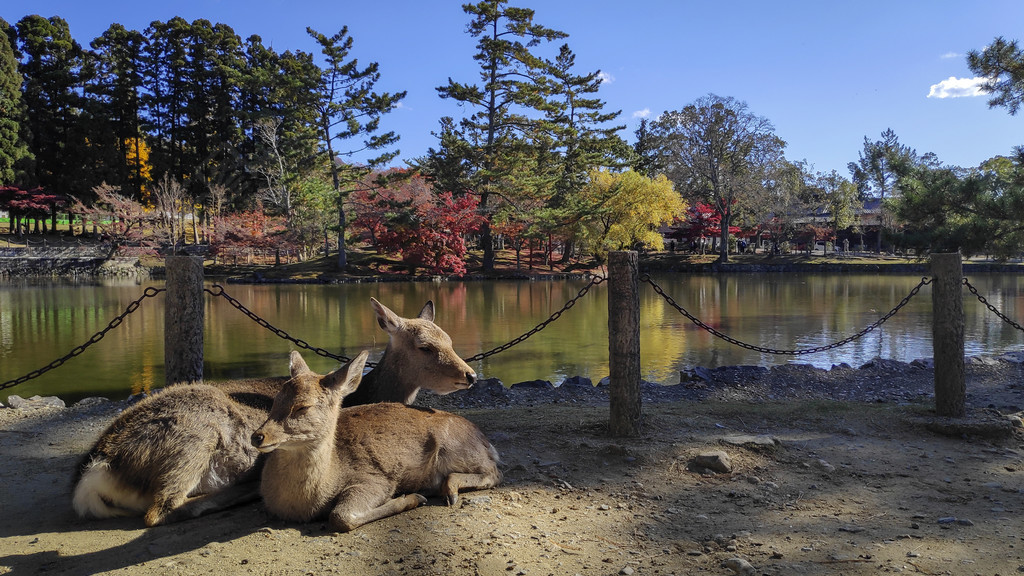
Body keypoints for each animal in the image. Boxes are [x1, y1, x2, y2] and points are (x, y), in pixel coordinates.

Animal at [72, 295, 479, 524]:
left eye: (450, 338)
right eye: (425, 346)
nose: (471, 375)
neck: (363, 393)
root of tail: (96, 468)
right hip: (193, 438)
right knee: (161, 509)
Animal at [251, 348, 499, 532]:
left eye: (303, 407)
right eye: (275, 401)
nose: (258, 436)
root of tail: (487, 443)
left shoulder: (374, 478)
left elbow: (341, 516)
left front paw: (411, 498)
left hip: (456, 448)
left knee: (494, 473)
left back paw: (448, 490)